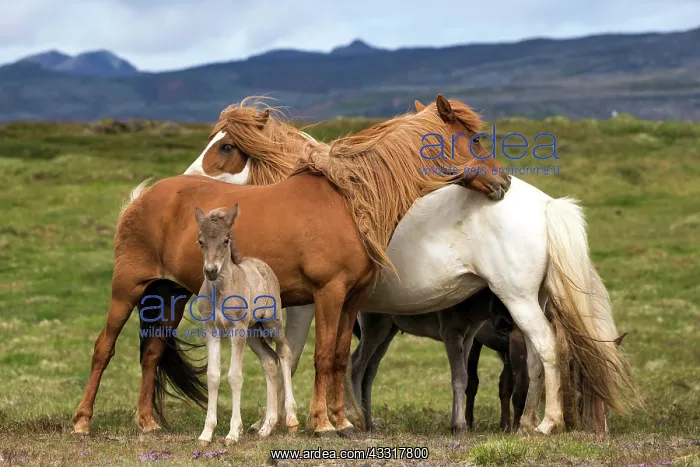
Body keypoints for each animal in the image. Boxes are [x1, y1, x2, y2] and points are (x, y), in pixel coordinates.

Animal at [193, 204, 297, 444]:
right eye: (200, 240)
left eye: (225, 240)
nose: (210, 271)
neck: (221, 292)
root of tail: (262, 264)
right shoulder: (211, 330)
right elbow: (213, 376)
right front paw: (206, 433)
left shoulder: (237, 330)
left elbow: (234, 376)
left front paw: (233, 432)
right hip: (253, 333)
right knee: (269, 361)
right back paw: (267, 426)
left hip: (270, 323)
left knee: (284, 351)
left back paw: (291, 420)